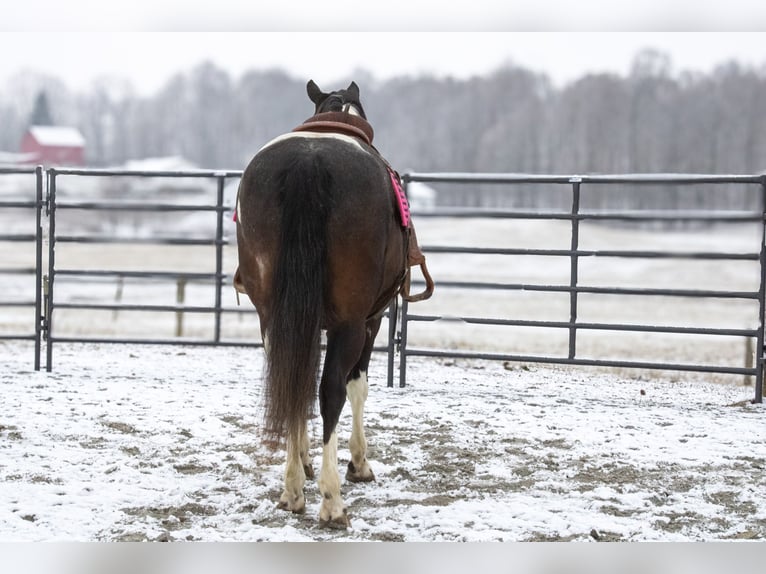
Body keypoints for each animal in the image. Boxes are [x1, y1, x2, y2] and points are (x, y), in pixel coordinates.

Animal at [234, 79, 436, 528]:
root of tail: (308, 164)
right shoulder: (370, 320)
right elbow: (356, 386)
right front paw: (358, 464)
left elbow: (297, 383)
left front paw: (304, 463)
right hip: (350, 322)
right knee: (331, 391)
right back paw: (331, 501)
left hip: (273, 316)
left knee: (292, 381)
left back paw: (292, 489)